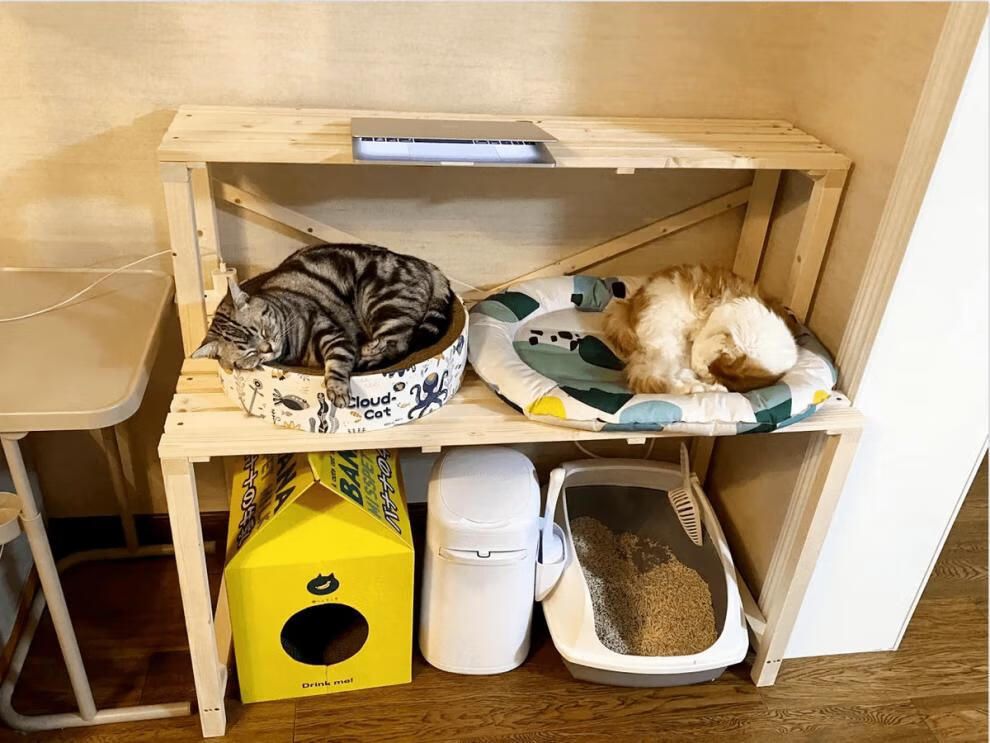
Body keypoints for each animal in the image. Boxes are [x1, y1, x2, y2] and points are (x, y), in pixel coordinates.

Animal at [192, 243, 453, 408]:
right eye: (248, 352)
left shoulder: (329, 330)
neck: (293, 349)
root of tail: (419, 261)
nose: (267, 348)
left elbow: (337, 361)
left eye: (263, 329)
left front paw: (337, 390)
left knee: (399, 347)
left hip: (383, 303)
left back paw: (369, 351)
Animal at [603, 264, 799, 395]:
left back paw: (704, 388)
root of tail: (628, 305)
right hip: (667, 343)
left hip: (675, 351)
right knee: (653, 380)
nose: (700, 371)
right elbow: (701, 343)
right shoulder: (729, 310)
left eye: (708, 372)